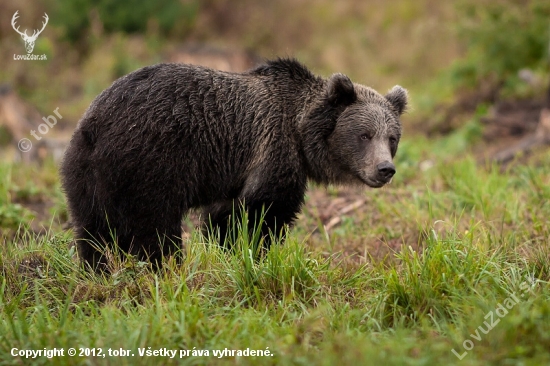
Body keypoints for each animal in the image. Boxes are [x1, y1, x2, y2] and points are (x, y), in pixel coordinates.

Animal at [60, 57, 408, 268]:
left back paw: (97, 270)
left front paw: (228, 252)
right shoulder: (273, 150)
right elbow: (264, 212)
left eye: (392, 137)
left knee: (90, 229)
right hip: (150, 161)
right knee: (153, 227)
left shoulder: (233, 173)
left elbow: (222, 216)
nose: (385, 169)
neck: (300, 131)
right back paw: (166, 266)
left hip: (85, 173)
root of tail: (95, 124)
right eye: (364, 134)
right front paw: (257, 254)